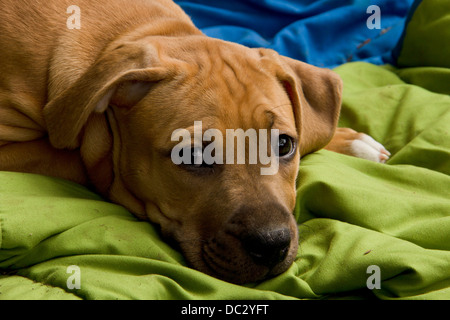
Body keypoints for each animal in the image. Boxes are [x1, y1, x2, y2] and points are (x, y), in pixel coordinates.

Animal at [0, 0, 386, 282]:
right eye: (193, 156)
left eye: (283, 145)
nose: (272, 246)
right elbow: (82, 162)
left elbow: (316, 125)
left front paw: (349, 139)